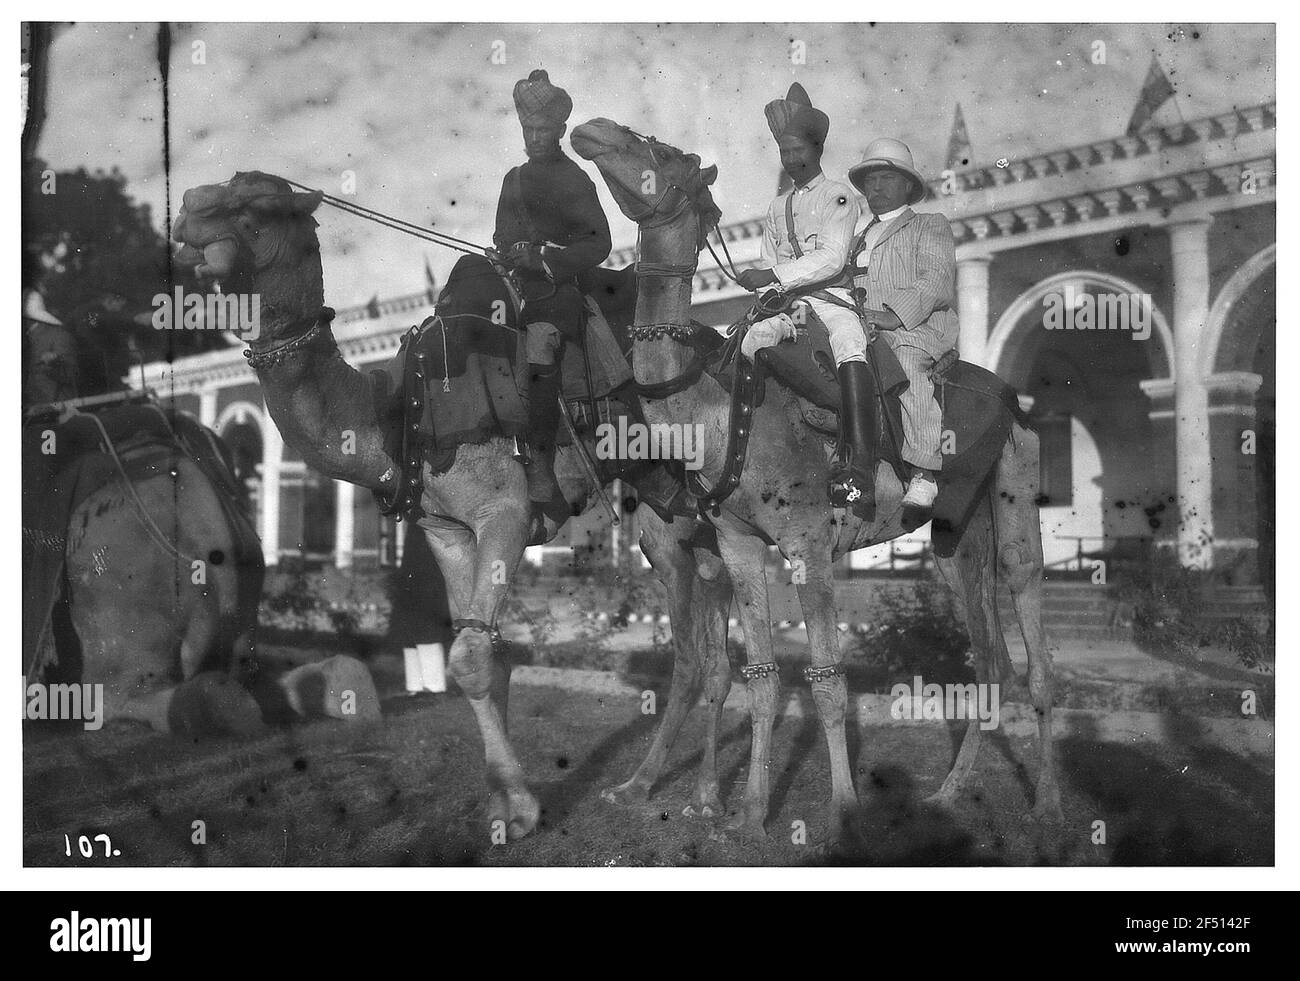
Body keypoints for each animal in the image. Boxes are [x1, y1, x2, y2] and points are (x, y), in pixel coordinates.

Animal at [169, 174, 738, 836]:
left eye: (257, 206)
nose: (189, 210)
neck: (395, 410)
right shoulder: (445, 529)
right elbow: (485, 651)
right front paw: (505, 801)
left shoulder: (505, 516)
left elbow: (470, 655)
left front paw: (517, 805)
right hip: (676, 517)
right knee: (713, 620)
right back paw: (687, 789)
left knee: (699, 644)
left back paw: (667, 789)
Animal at [574, 120, 1060, 841]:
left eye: (659, 151)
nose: (593, 130)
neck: (718, 410)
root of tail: (1012, 401)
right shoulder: (737, 545)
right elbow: (758, 674)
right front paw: (745, 814)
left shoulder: (807, 545)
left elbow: (827, 679)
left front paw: (843, 812)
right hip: (956, 537)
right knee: (988, 656)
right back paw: (948, 794)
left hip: (1017, 494)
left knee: (1034, 639)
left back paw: (1045, 803)